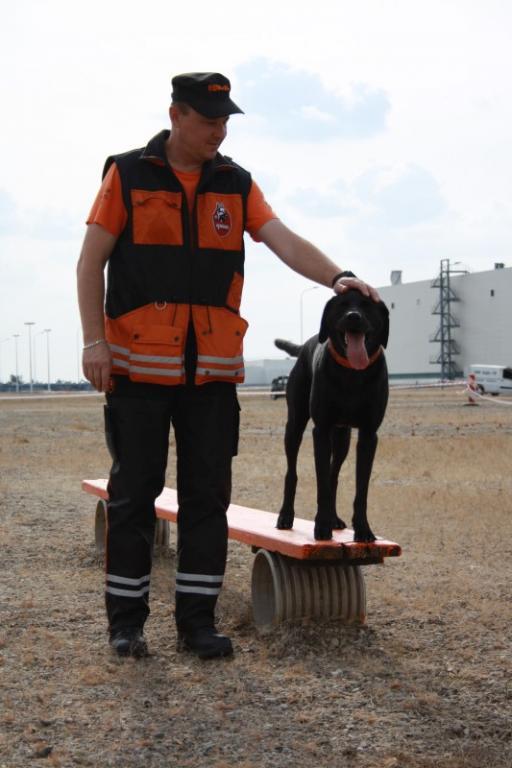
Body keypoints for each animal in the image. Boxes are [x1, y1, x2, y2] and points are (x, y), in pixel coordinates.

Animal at [275, 282, 389, 542]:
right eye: (342, 305)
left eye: (367, 305)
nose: (353, 316)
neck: (352, 373)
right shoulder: (321, 429)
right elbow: (321, 485)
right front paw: (322, 527)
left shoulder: (369, 435)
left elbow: (360, 488)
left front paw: (363, 530)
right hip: (295, 425)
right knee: (292, 472)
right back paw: (286, 516)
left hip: (342, 436)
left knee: (333, 474)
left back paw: (335, 518)